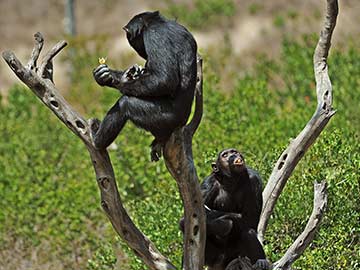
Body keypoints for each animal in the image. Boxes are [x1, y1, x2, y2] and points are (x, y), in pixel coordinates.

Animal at [90, 11, 197, 160]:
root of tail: (182, 124)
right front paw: (105, 76)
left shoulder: (154, 36)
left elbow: (164, 79)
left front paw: (123, 81)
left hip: (165, 119)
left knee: (125, 104)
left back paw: (97, 141)